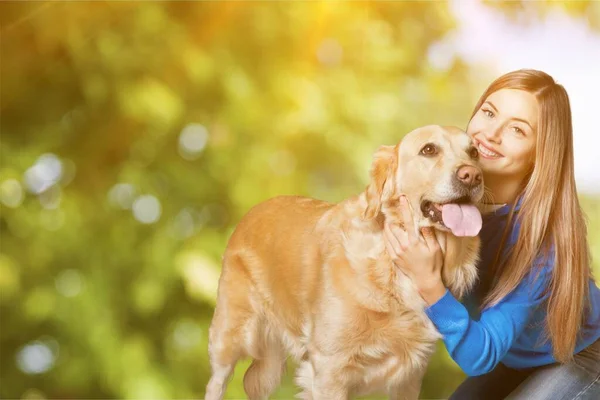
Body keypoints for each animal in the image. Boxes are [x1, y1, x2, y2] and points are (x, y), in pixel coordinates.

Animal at [205, 125, 482, 400]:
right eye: (429, 150)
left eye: (474, 152)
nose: (472, 175)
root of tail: (252, 212)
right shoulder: (329, 367)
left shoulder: (410, 376)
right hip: (229, 337)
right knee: (216, 381)